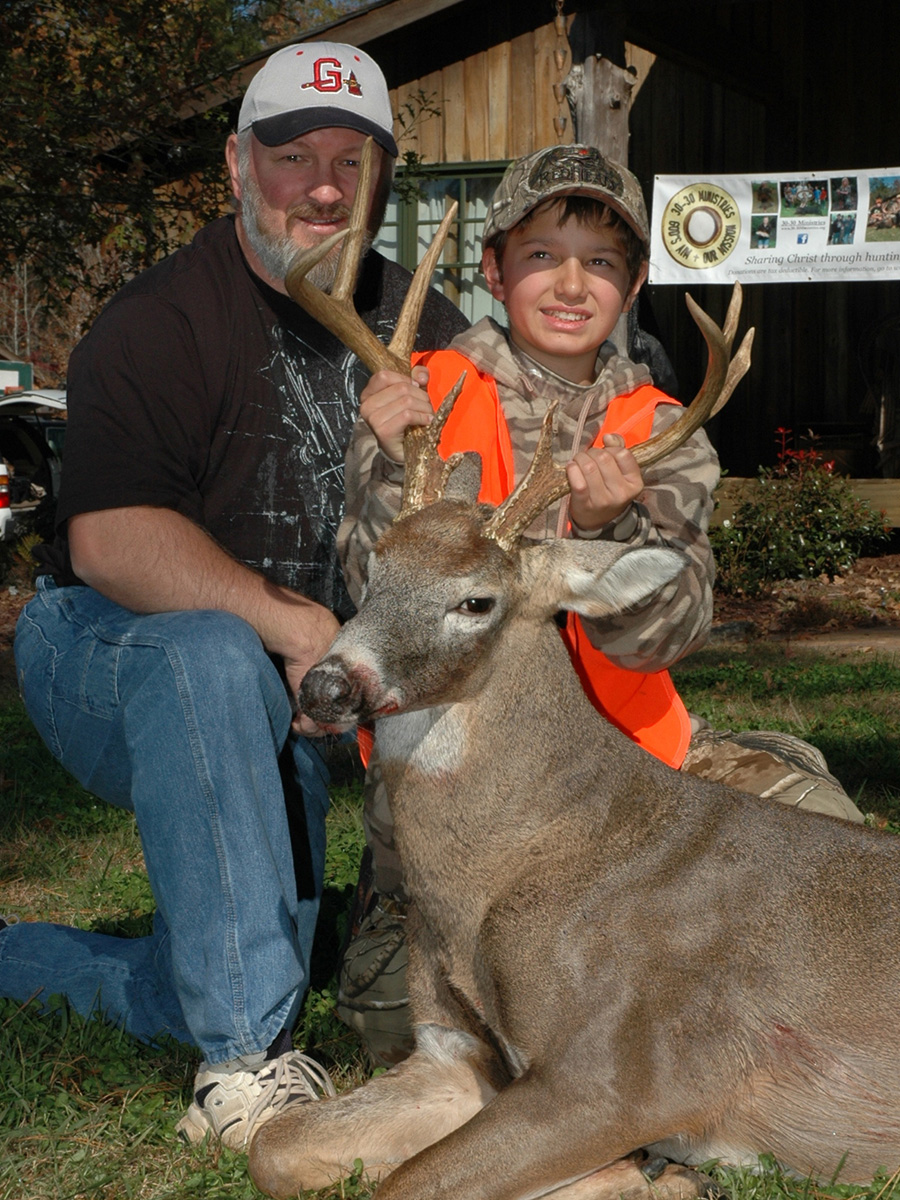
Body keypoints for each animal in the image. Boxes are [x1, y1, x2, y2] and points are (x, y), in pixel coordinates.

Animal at [247, 141, 900, 1200]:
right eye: (378, 563)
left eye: (477, 601)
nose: (327, 685)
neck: (500, 877)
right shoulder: (448, 1051)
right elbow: (279, 1148)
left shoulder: (628, 1064)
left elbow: (406, 1184)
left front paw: (661, 1174)